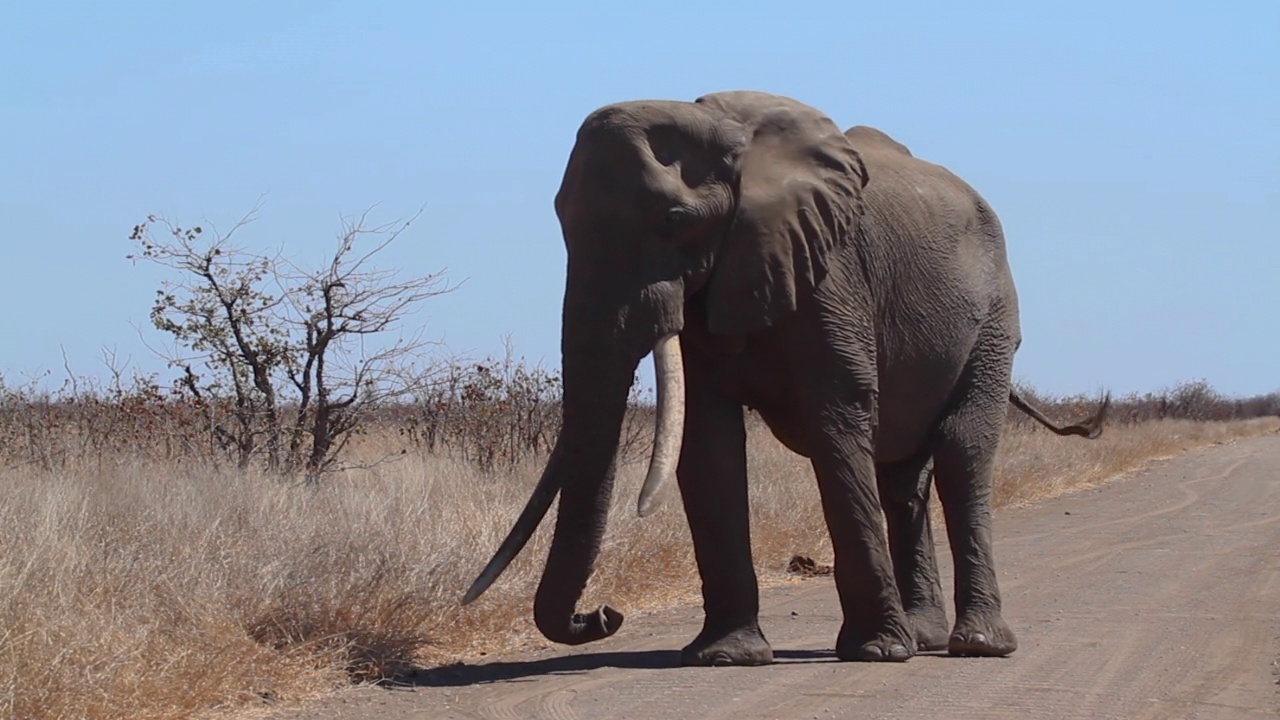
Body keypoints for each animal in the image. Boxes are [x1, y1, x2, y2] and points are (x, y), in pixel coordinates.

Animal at [463, 90, 1111, 666]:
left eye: (675, 219)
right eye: (560, 221)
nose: (603, 613)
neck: (726, 134)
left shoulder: (829, 268)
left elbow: (836, 418)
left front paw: (878, 653)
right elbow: (709, 440)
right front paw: (726, 658)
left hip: (995, 321)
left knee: (961, 452)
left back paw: (974, 645)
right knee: (902, 476)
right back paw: (925, 637)